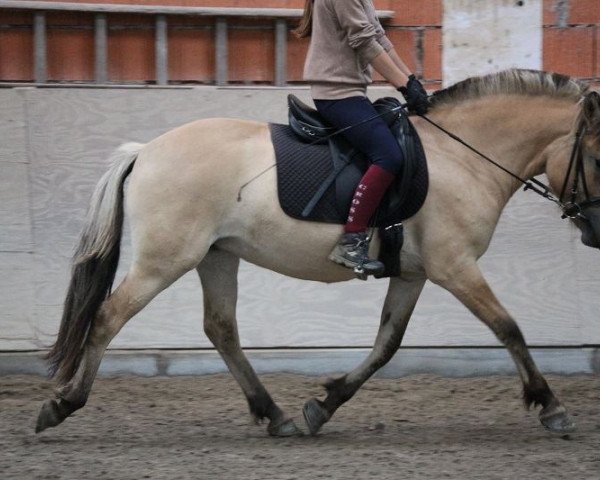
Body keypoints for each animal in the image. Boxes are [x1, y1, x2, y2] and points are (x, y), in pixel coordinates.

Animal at [35, 68, 596, 438]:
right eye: (594, 155)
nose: (593, 232)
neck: (461, 155)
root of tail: (145, 151)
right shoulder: (454, 266)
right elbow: (508, 328)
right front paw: (551, 406)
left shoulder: (414, 273)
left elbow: (387, 344)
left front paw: (323, 405)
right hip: (165, 259)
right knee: (109, 316)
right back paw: (63, 404)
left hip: (216, 255)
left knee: (221, 328)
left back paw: (276, 415)